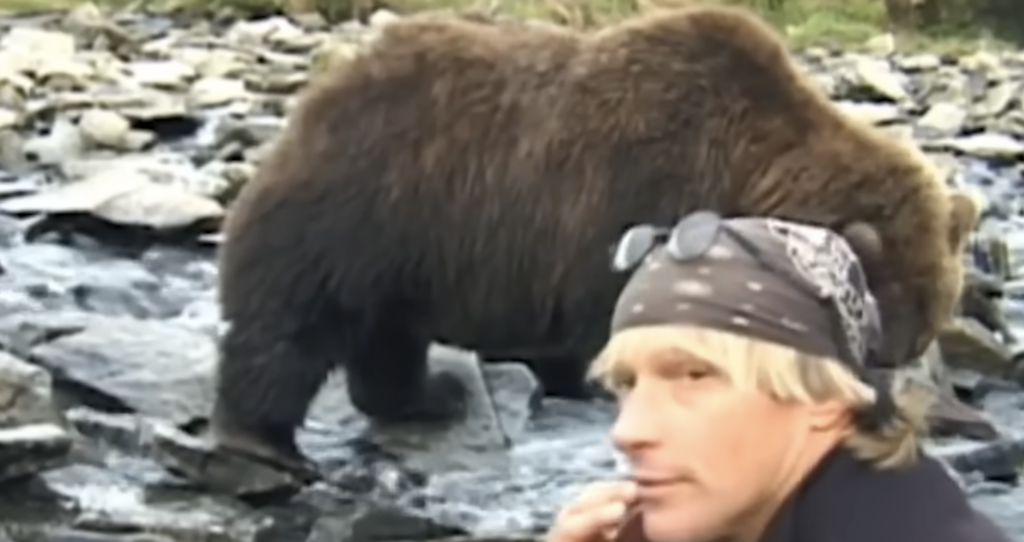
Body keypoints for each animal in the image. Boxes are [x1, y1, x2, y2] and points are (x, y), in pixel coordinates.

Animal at [210, 4, 980, 470]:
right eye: (882, 332)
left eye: (926, 327)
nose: (883, 405)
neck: (747, 172)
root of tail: (319, 96)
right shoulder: (624, 199)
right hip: (365, 206)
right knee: (291, 327)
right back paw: (264, 440)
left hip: (404, 256)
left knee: (387, 338)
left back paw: (429, 395)